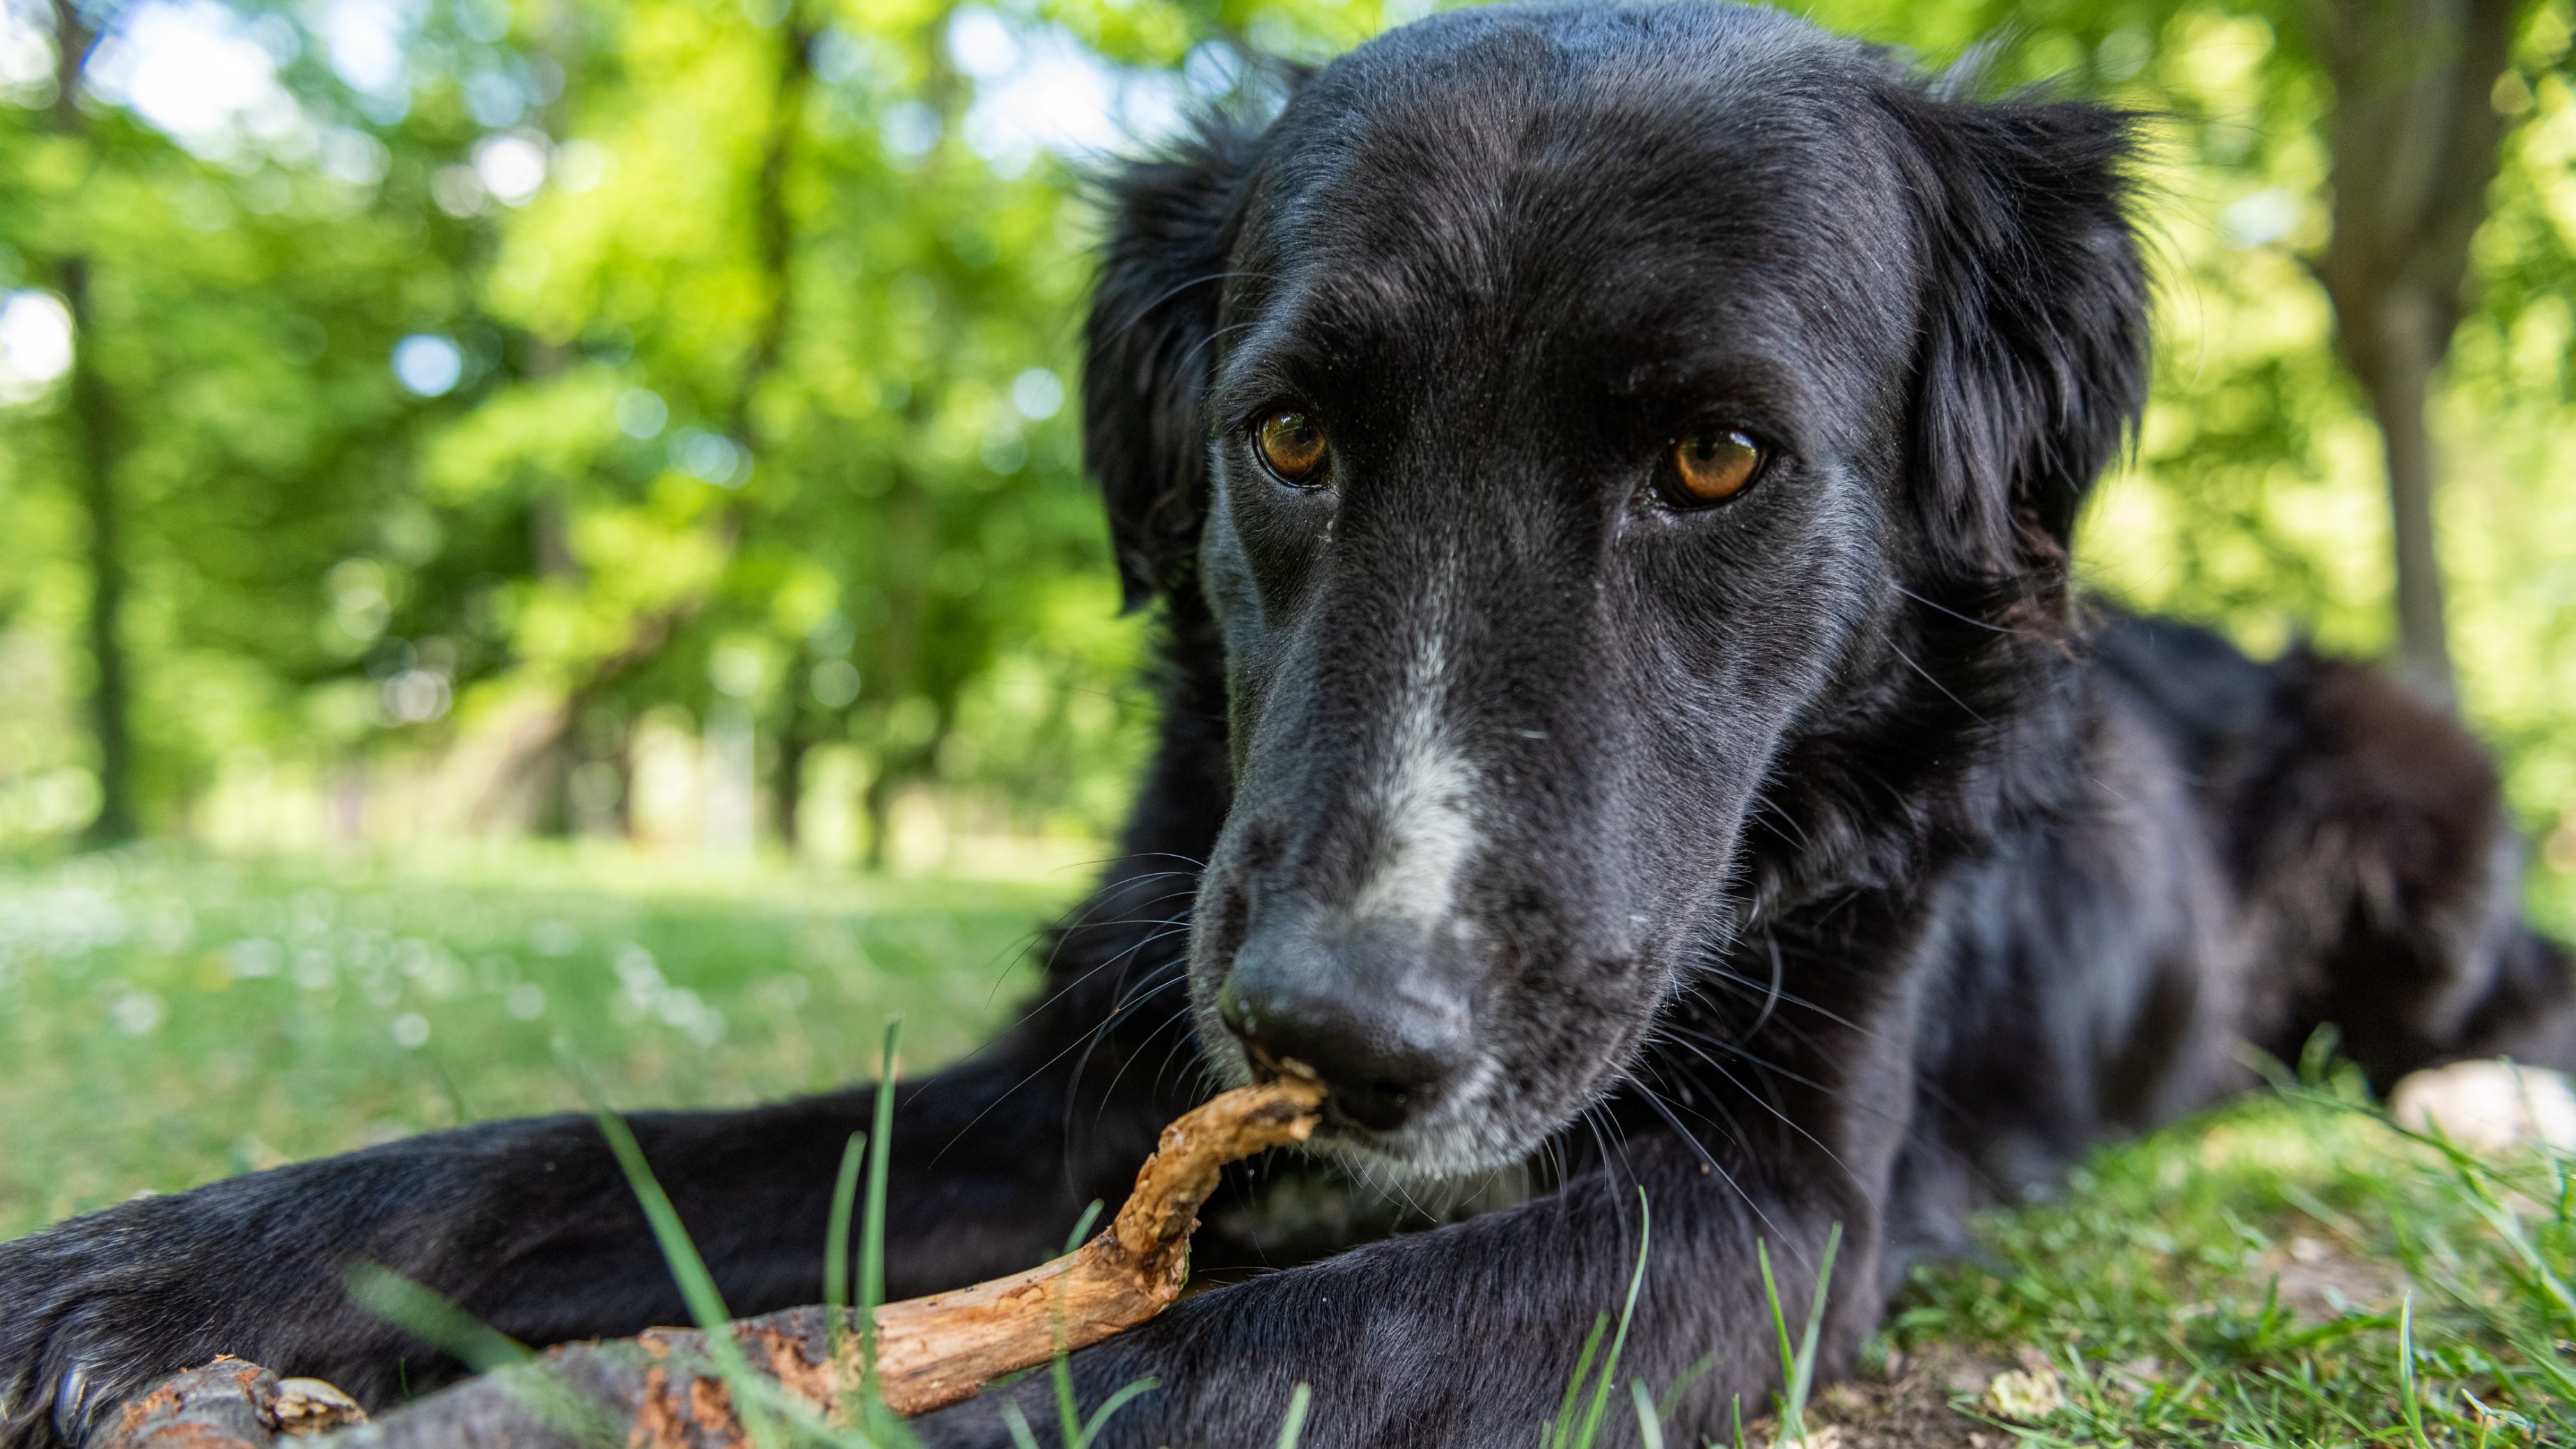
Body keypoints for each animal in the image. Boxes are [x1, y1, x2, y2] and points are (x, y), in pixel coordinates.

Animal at [5, 6, 2576, 1433]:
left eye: (1715, 458)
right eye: (1293, 437)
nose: (1334, 1033)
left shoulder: (1761, 1213)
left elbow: (1209, 1364)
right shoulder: (1090, 1081)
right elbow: (546, 1156)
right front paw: (125, 1283)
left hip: (2416, 761)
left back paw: (2478, 1094)